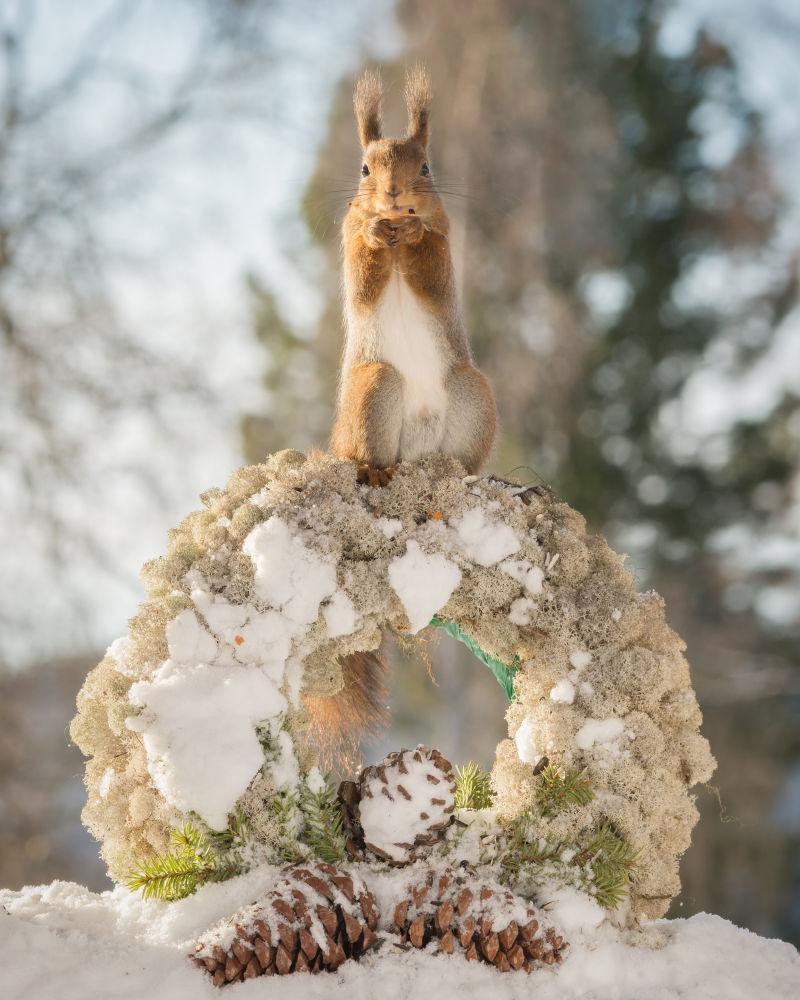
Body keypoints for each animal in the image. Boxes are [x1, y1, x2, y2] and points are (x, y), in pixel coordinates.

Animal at [330, 66, 494, 476]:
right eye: (364, 169)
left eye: (425, 167)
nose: (393, 191)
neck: (396, 243)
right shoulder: (348, 240)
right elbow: (362, 284)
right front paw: (375, 232)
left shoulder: (444, 243)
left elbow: (433, 277)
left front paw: (414, 230)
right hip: (373, 388)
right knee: (368, 454)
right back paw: (376, 470)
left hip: (473, 393)